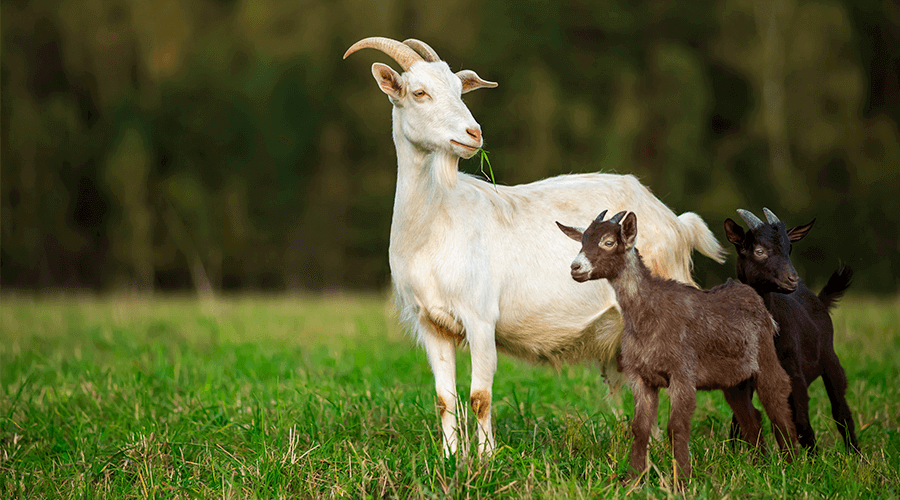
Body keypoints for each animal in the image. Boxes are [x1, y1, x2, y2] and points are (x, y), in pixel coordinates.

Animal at [342, 36, 724, 458]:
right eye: (419, 93)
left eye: (460, 90)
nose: (473, 133)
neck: (434, 225)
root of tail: (676, 222)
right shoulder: (431, 323)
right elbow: (445, 399)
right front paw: (451, 459)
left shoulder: (480, 317)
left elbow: (480, 397)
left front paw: (486, 460)